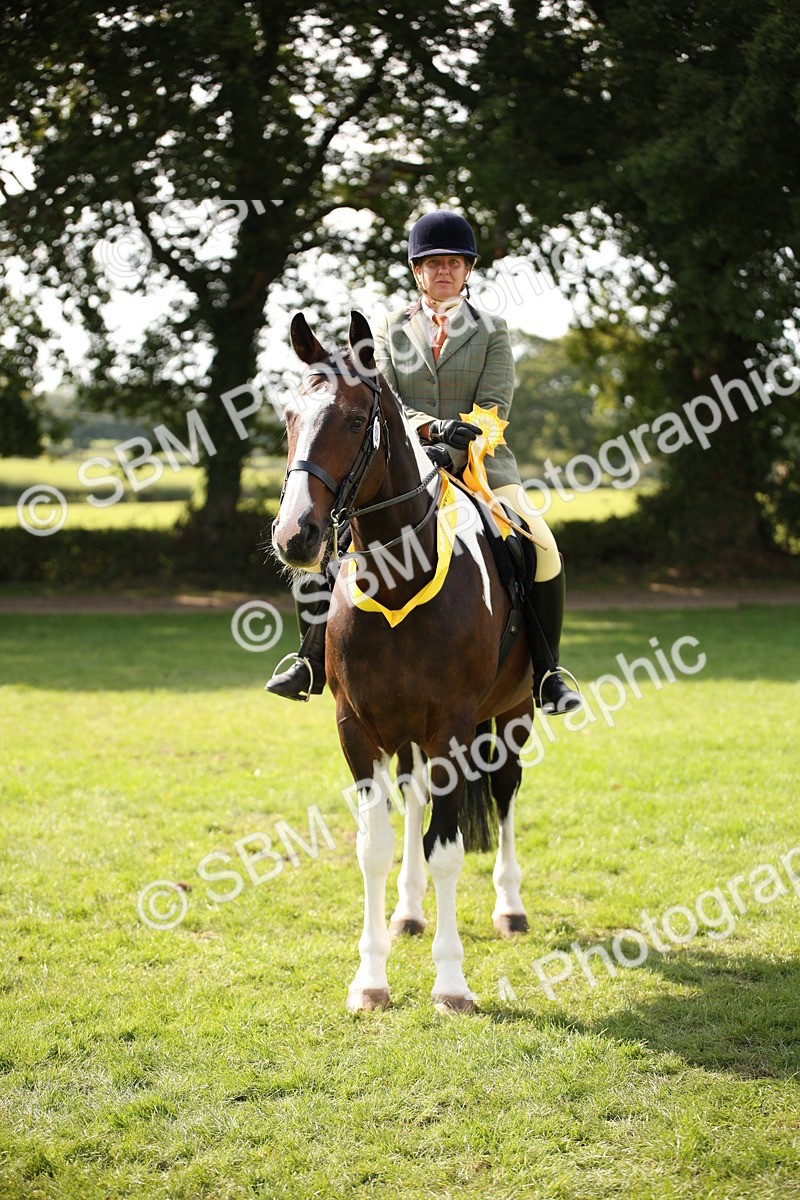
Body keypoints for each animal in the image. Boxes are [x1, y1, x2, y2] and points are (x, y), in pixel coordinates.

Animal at [271, 310, 535, 1013]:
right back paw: (410, 912)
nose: (296, 536)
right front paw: (370, 980)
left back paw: (509, 907)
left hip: (513, 713)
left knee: (503, 794)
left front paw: (451, 984)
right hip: (409, 733)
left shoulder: (453, 727)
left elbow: (446, 847)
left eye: (354, 421)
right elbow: (376, 847)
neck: (398, 577)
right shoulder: (357, 728)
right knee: (416, 798)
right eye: (289, 415)